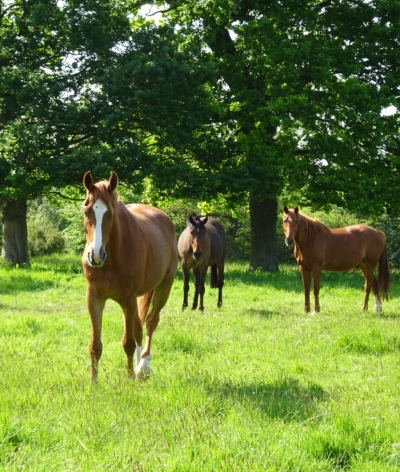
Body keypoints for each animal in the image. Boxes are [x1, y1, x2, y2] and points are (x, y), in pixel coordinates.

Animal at [82, 171, 177, 382]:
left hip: (163, 287)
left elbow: (128, 342)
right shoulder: (94, 298)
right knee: (139, 327)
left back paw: (143, 367)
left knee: (150, 322)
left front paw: (127, 378)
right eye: (86, 211)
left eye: (110, 213)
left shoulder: (128, 299)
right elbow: (95, 345)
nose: (96, 256)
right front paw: (93, 382)